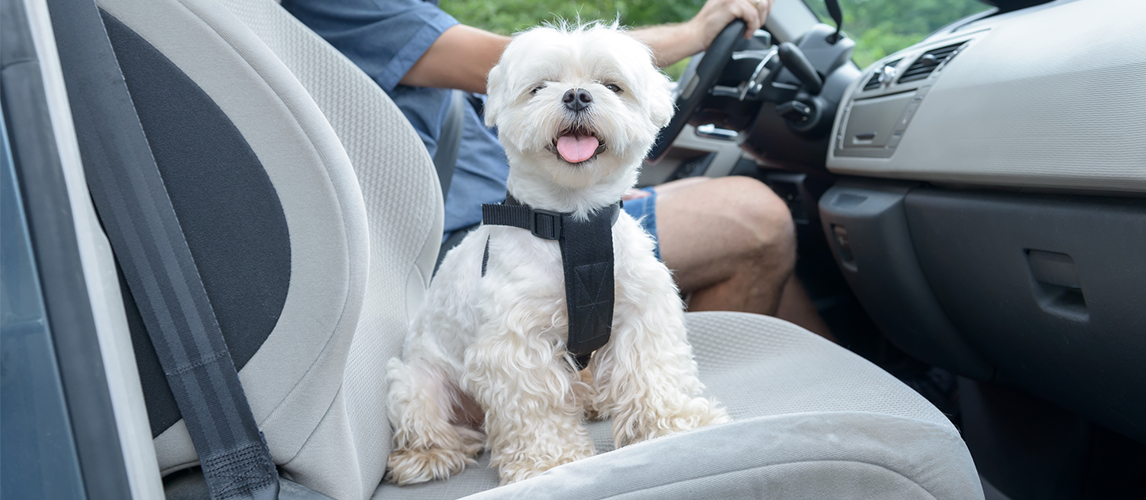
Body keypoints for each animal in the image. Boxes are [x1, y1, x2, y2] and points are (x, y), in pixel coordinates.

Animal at [382, 22, 724, 483]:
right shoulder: (516, 343)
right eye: (539, 87)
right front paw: (550, 462)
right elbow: (536, 410)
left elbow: (653, 373)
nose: (577, 95)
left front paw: (676, 424)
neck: (572, 224)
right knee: (425, 418)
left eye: (611, 86)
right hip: (416, 383)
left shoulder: (642, 313)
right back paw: (431, 453)